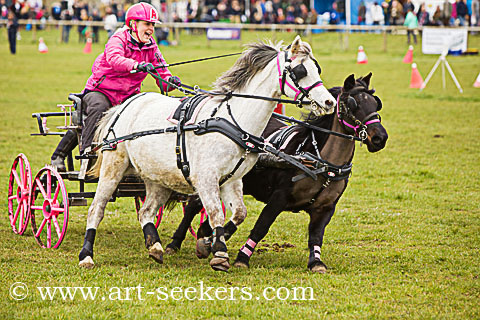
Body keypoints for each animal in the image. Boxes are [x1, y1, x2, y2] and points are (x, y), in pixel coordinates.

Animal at [79, 36, 336, 272]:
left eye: (317, 68)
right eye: (300, 71)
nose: (329, 102)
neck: (233, 121)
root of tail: (123, 106)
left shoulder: (232, 180)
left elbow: (239, 213)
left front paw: (207, 241)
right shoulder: (205, 178)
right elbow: (215, 214)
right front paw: (219, 252)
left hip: (157, 178)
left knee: (146, 212)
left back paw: (155, 246)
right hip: (113, 168)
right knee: (96, 209)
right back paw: (86, 255)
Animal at [167, 73, 388, 272]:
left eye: (376, 104)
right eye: (352, 103)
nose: (380, 138)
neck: (320, 163)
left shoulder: (325, 208)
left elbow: (316, 235)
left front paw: (316, 262)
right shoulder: (279, 198)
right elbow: (261, 227)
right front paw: (241, 257)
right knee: (193, 206)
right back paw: (174, 243)